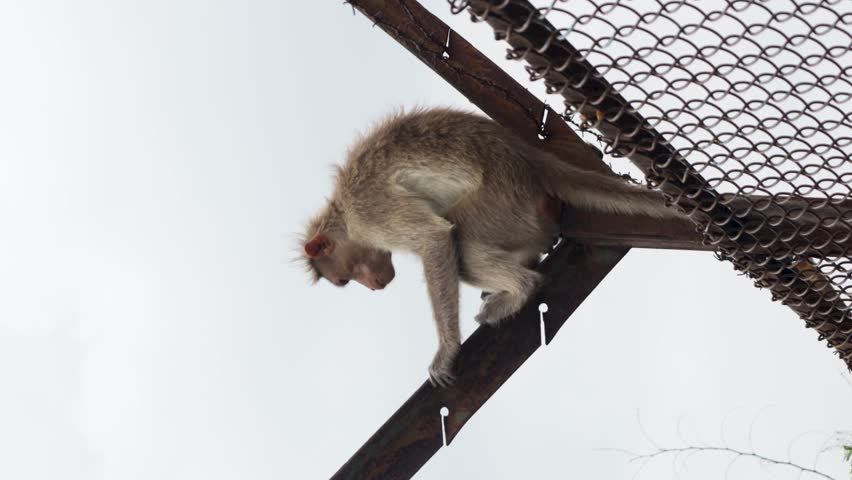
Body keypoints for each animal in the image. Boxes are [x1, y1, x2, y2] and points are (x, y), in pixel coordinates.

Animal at [301, 108, 676, 387]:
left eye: (343, 280)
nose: (374, 285)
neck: (342, 212)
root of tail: (530, 160)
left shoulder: (369, 212)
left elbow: (435, 238)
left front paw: (447, 351)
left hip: (502, 201)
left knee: (462, 240)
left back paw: (520, 288)